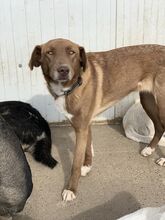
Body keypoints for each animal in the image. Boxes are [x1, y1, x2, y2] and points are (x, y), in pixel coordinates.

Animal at [29, 39, 165, 201]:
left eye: (72, 52)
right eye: (49, 52)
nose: (63, 70)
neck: (71, 87)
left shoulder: (81, 128)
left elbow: (75, 163)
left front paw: (71, 189)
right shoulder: (84, 125)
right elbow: (88, 149)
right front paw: (87, 167)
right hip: (147, 99)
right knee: (160, 127)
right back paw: (149, 149)